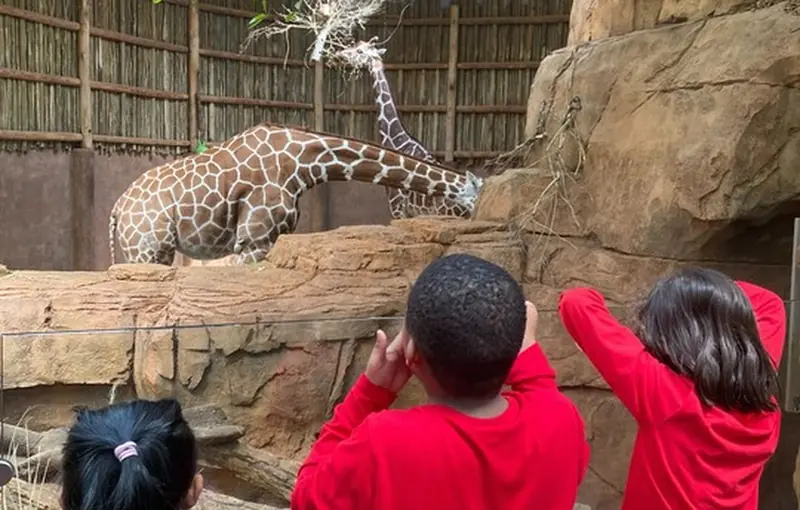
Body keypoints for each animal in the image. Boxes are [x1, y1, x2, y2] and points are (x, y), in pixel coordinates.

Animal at [109, 123, 482, 266]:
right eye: (475, 194)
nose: (474, 214)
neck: (303, 164)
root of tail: (117, 208)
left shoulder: (271, 239)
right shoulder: (253, 241)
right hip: (147, 250)